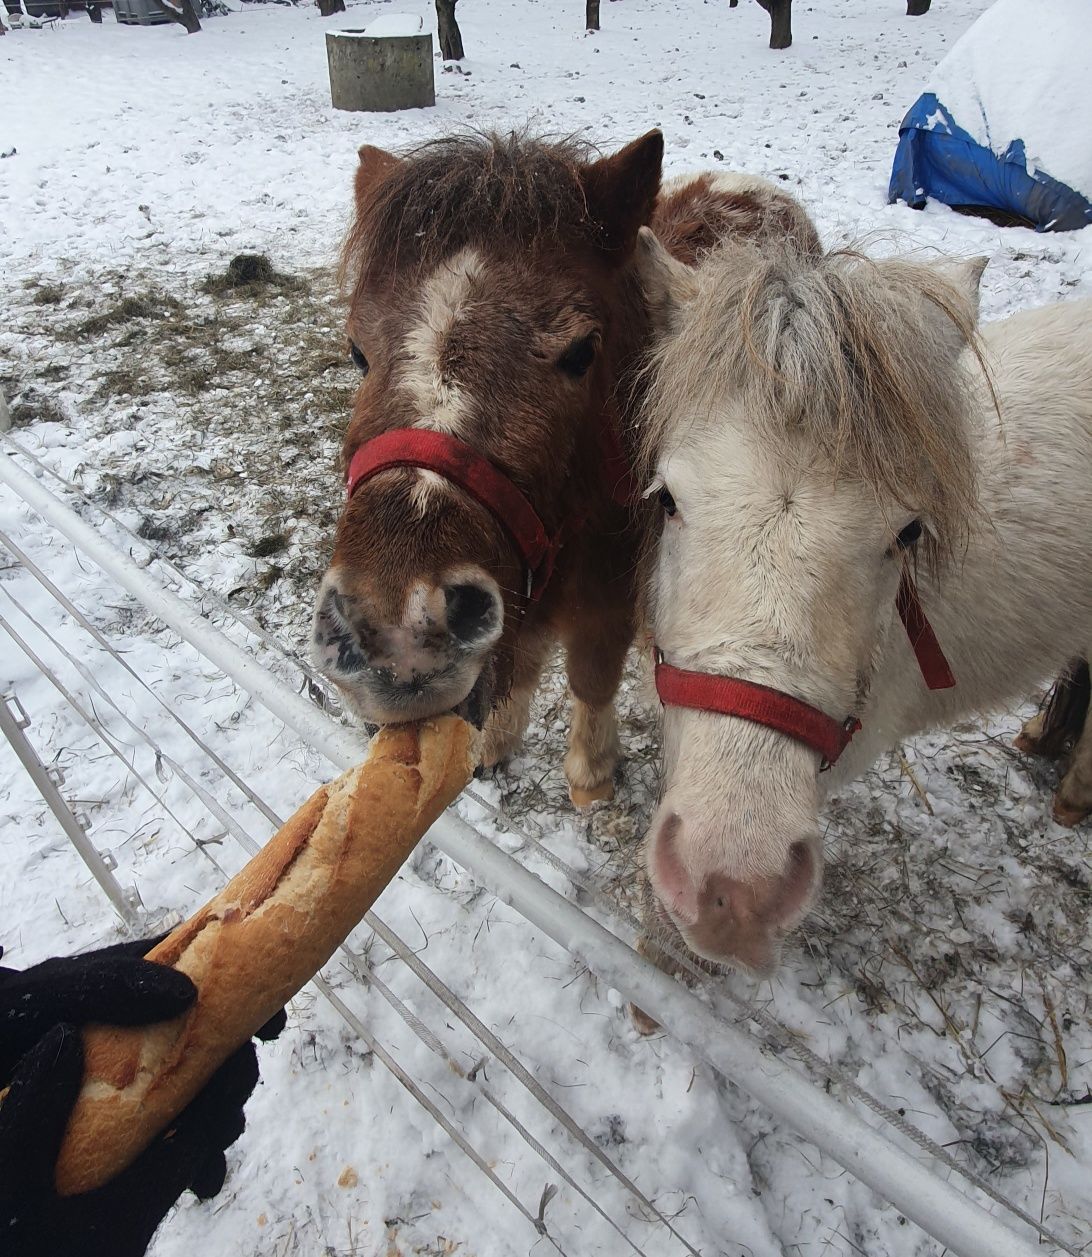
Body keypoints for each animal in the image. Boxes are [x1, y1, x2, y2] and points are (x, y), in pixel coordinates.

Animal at [311, 135, 814, 804]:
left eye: (582, 352)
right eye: (356, 351)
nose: (396, 628)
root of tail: (750, 185)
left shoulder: (607, 603)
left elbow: (591, 677)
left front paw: (592, 775)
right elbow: (521, 667)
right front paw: (495, 746)